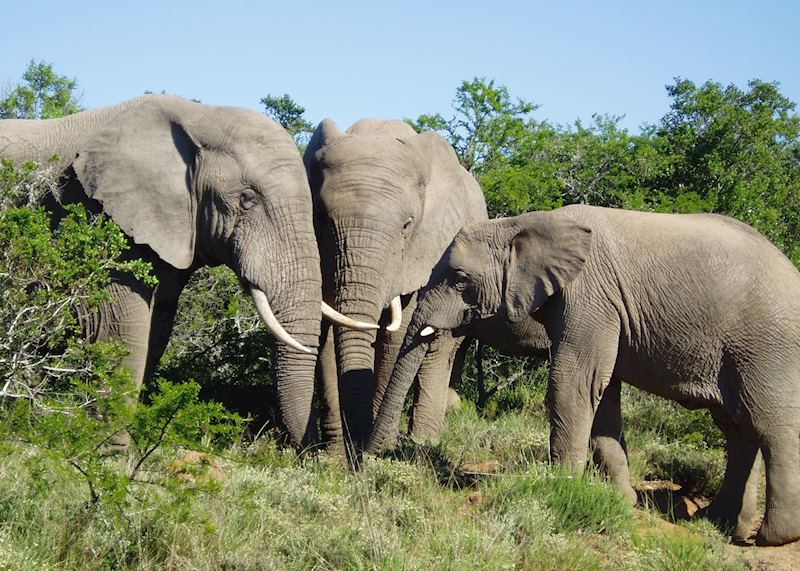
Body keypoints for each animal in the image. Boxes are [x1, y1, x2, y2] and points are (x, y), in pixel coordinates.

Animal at [0, 96, 356, 450]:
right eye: (247, 198)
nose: (309, 452)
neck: (198, 116)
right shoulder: (92, 209)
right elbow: (118, 323)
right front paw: (112, 449)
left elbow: (158, 325)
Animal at [302, 119, 484, 452]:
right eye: (320, 217)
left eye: (406, 226)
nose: (356, 449)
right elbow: (329, 336)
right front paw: (333, 457)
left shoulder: (422, 250)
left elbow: (396, 338)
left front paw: (377, 448)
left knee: (440, 351)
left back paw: (424, 440)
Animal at [372, 203, 800, 548]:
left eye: (460, 279)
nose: (374, 457)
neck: (523, 224)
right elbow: (602, 393)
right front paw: (622, 502)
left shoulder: (589, 296)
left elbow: (573, 380)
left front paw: (557, 490)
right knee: (738, 428)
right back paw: (719, 524)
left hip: (766, 345)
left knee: (769, 425)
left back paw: (772, 537)